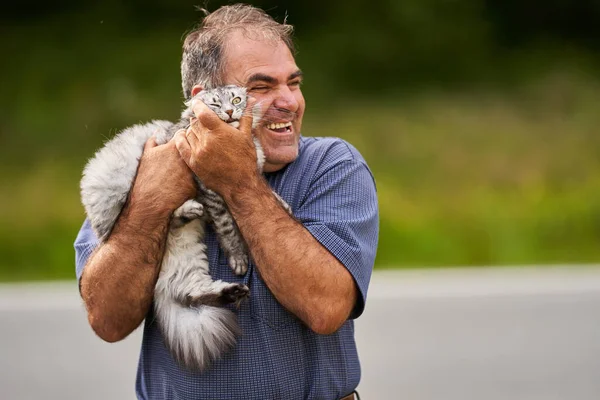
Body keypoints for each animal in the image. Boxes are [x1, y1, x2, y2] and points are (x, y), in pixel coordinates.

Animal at [80, 85, 286, 372]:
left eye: (236, 99)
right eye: (215, 104)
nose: (230, 112)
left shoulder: (245, 180)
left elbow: (266, 194)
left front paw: (284, 206)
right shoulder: (211, 191)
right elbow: (229, 229)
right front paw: (239, 258)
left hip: (189, 255)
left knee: (193, 291)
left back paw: (230, 291)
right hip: (116, 195)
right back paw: (188, 211)